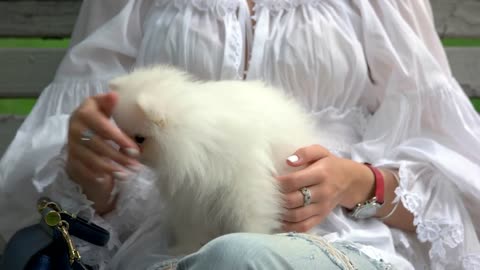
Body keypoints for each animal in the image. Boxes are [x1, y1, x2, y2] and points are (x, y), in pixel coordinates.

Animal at [111, 66, 322, 255]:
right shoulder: (190, 196)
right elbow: (191, 227)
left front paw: (250, 236)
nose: (122, 149)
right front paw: (186, 249)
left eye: (139, 138)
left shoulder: (244, 187)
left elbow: (250, 217)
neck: (197, 140)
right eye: (121, 131)